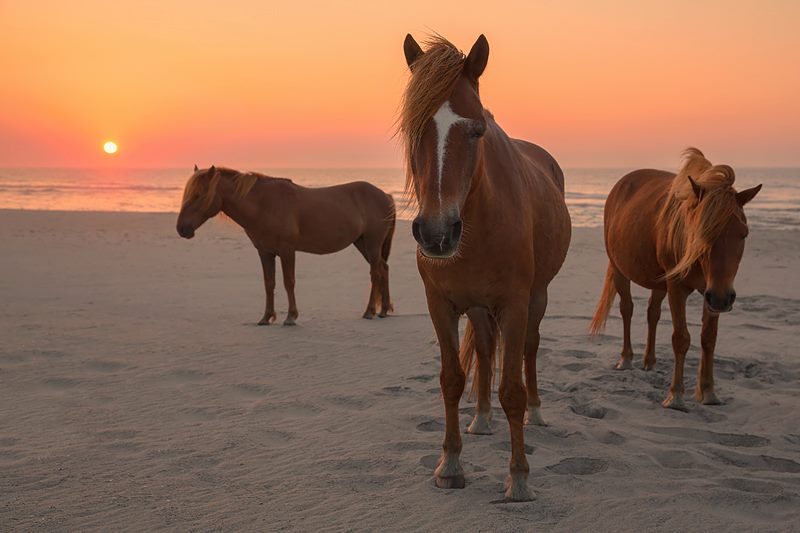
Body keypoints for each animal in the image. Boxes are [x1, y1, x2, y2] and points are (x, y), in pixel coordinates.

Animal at [178, 165, 396, 324]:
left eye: (198, 195)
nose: (181, 228)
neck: (264, 204)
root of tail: (385, 195)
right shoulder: (265, 252)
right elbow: (269, 283)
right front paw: (266, 317)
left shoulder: (287, 251)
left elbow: (288, 282)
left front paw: (291, 316)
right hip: (362, 243)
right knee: (383, 268)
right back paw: (384, 310)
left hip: (372, 243)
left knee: (375, 273)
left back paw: (369, 311)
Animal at [400, 35, 568, 500]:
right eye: (412, 129)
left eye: (477, 130)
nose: (437, 233)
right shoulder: (440, 305)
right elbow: (451, 379)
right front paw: (450, 465)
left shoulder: (514, 304)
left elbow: (511, 388)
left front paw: (519, 478)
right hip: (477, 308)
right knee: (486, 348)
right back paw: (481, 418)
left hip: (537, 298)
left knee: (529, 349)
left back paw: (537, 413)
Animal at [592, 150, 764, 412]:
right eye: (703, 232)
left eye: (743, 234)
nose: (724, 299)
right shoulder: (678, 288)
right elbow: (681, 338)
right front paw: (675, 397)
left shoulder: (710, 292)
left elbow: (708, 338)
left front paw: (708, 392)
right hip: (621, 270)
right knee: (627, 309)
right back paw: (626, 359)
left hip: (660, 283)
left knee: (652, 313)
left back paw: (650, 362)